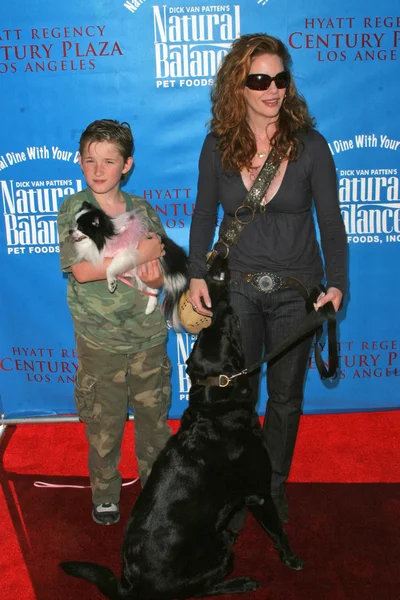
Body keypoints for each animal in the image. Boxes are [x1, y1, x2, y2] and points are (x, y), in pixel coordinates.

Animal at [60, 255, 304, 596]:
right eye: (226, 333)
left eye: (203, 337)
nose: (220, 303)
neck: (216, 407)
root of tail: (131, 584)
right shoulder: (259, 492)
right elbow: (278, 530)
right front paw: (291, 558)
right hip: (217, 552)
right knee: (205, 587)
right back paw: (242, 580)